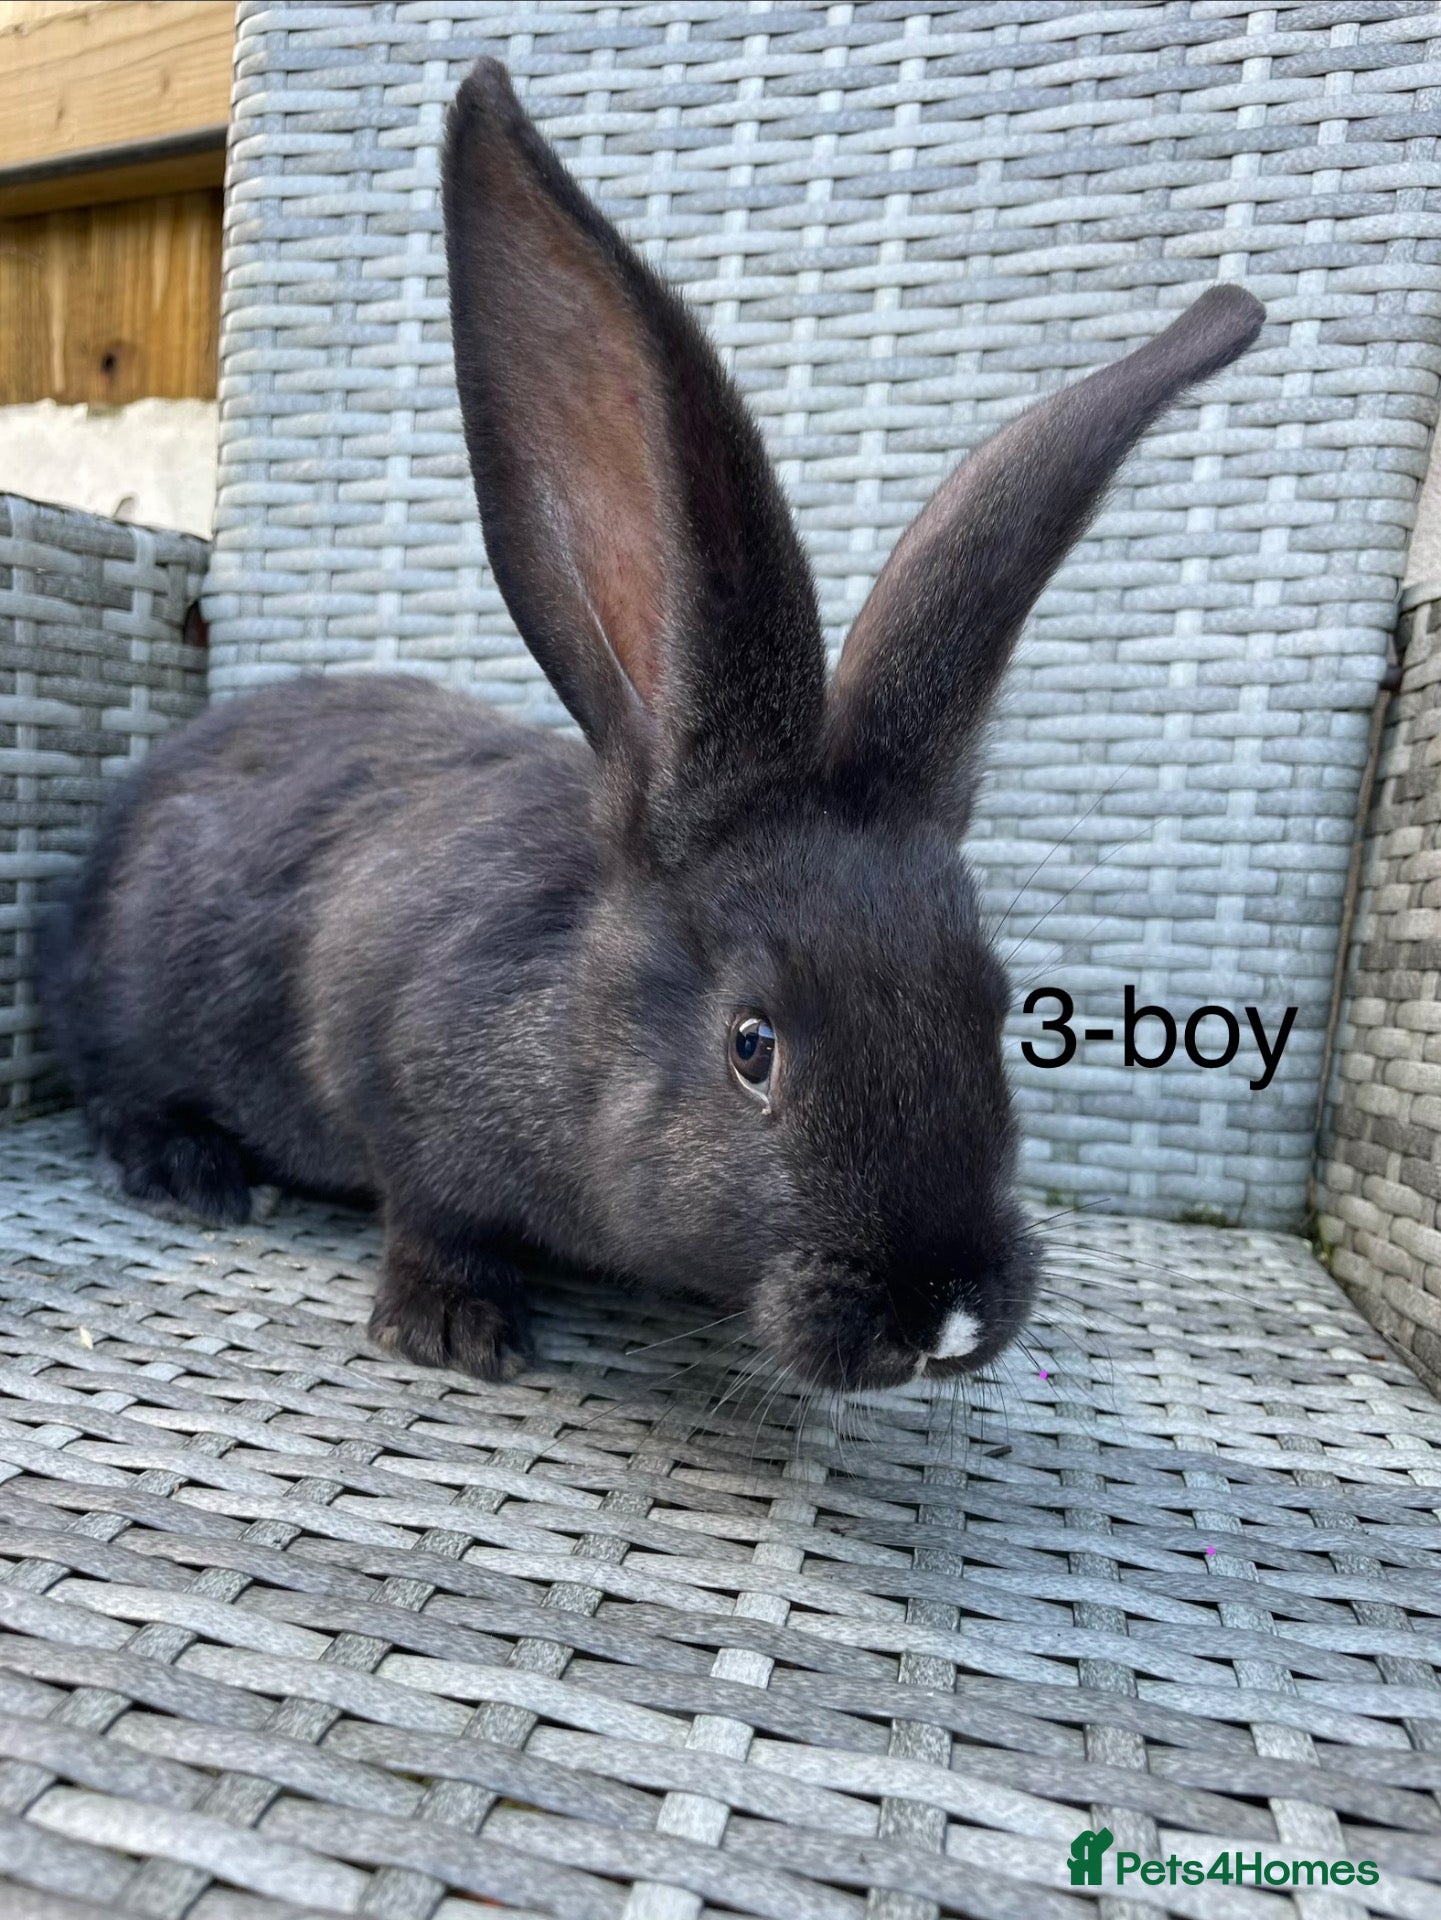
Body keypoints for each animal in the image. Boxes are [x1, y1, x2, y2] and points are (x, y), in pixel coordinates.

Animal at [37, 58, 1264, 1390]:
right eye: (751, 1044)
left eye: (995, 1010)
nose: (941, 1316)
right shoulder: (390, 1078)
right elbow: (432, 1211)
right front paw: (455, 1327)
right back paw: (191, 1171)